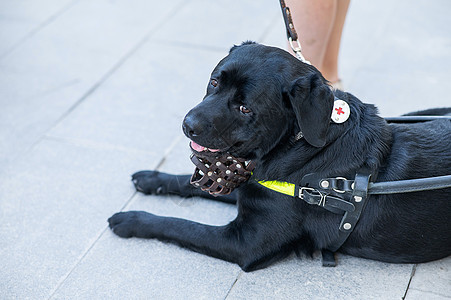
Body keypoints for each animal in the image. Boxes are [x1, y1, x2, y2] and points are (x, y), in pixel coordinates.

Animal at [109, 41, 451, 270]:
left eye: (245, 108)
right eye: (214, 81)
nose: (187, 124)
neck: (298, 148)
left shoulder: (243, 243)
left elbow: (179, 226)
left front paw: (130, 219)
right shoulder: (250, 184)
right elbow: (189, 183)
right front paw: (152, 178)